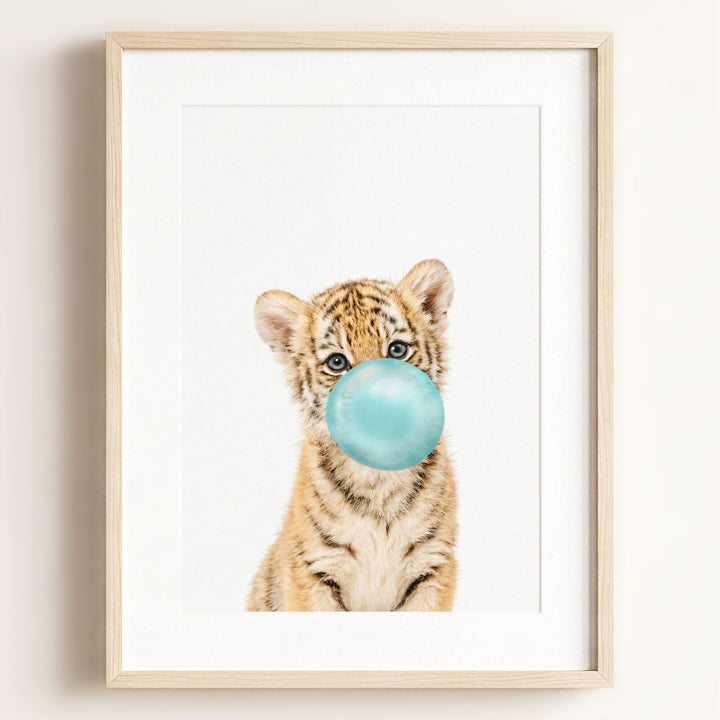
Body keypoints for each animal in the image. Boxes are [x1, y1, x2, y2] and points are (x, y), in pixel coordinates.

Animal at [247, 259, 457, 611]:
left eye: (397, 350)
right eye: (337, 362)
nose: (379, 403)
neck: (380, 477)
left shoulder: (433, 565)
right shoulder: (313, 570)